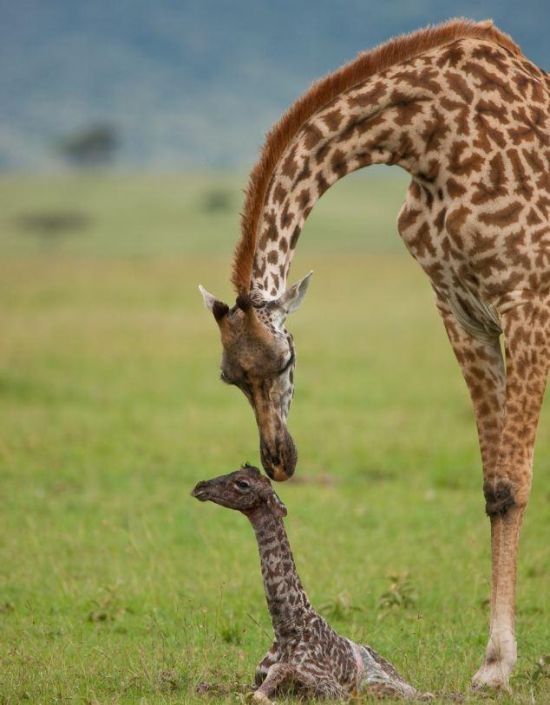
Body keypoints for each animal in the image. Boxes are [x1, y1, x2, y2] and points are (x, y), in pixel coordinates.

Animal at [194, 464, 432, 700]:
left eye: (243, 483)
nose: (200, 486)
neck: (286, 627)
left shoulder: (335, 690)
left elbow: (275, 678)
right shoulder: (255, 679)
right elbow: (215, 686)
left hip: (376, 688)